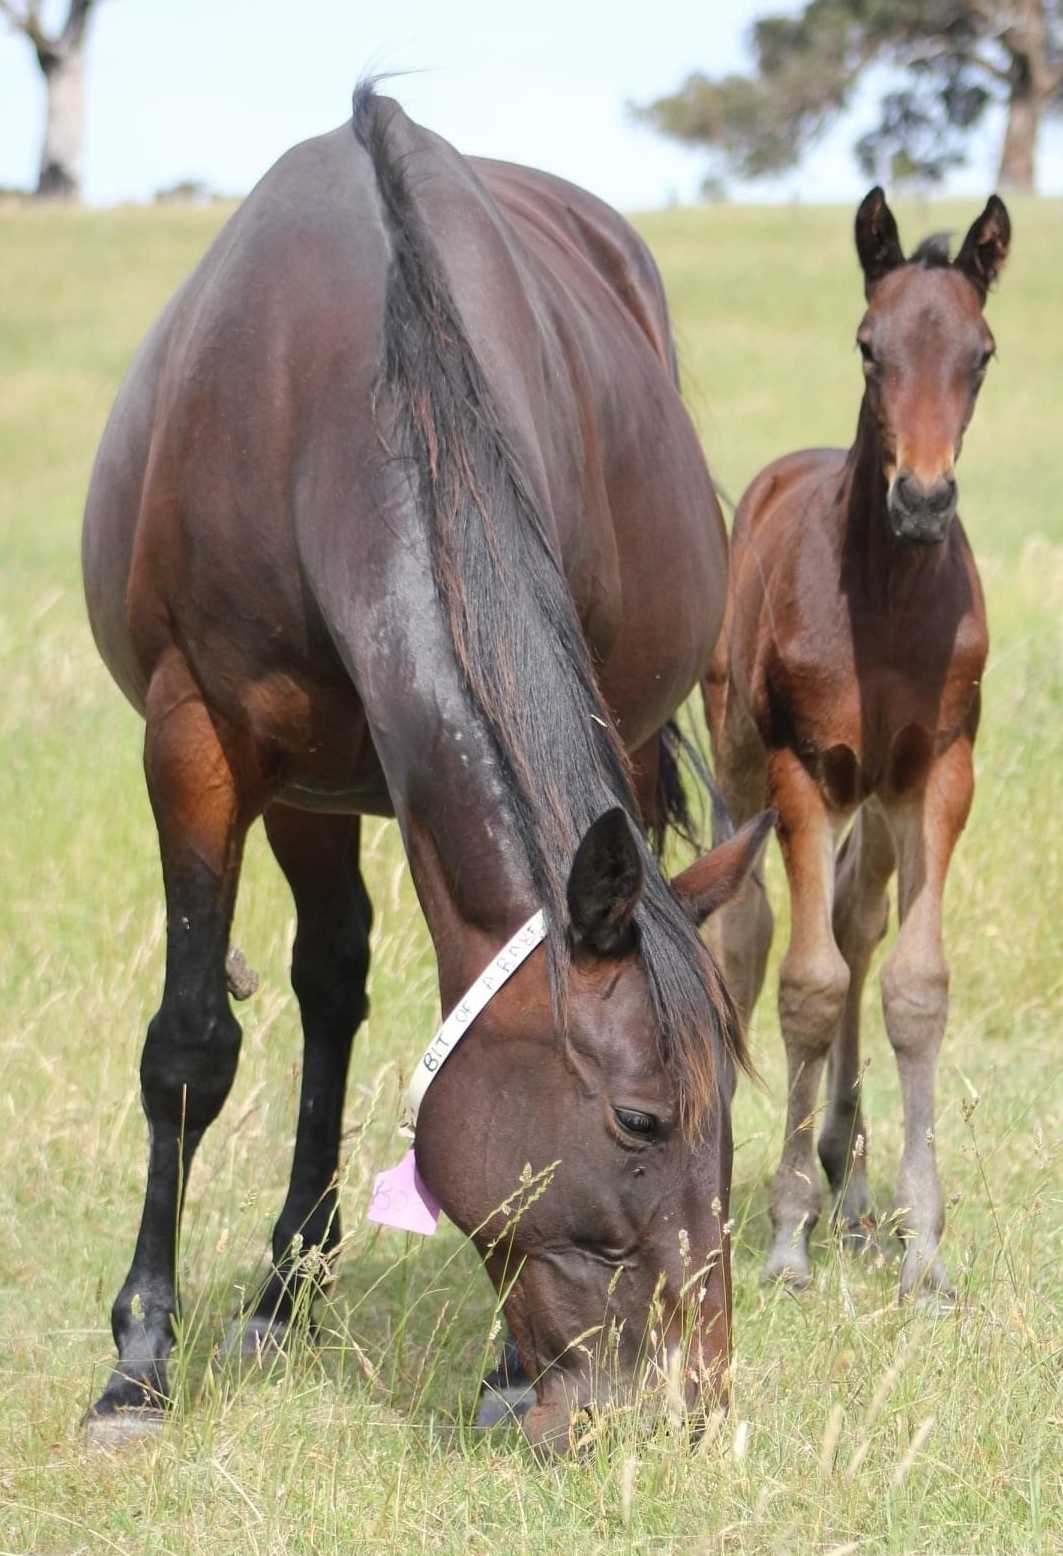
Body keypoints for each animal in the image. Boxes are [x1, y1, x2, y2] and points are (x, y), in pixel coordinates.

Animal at [81, 84, 770, 1451]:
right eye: (640, 1118)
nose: (691, 1393)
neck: (340, 385)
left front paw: (507, 1367)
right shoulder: (197, 739)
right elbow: (188, 1051)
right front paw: (138, 1358)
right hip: (307, 783)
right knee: (327, 979)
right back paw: (283, 1294)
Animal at [704, 188, 1009, 1301]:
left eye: (980, 353)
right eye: (868, 347)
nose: (921, 500)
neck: (884, 607)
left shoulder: (938, 772)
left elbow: (910, 986)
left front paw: (923, 1247)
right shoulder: (800, 770)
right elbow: (808, 984)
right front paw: (786, 1238)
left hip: (875, 801)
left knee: (853, 915)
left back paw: (851, 1171)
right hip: (744, 760)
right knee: (748, 933)